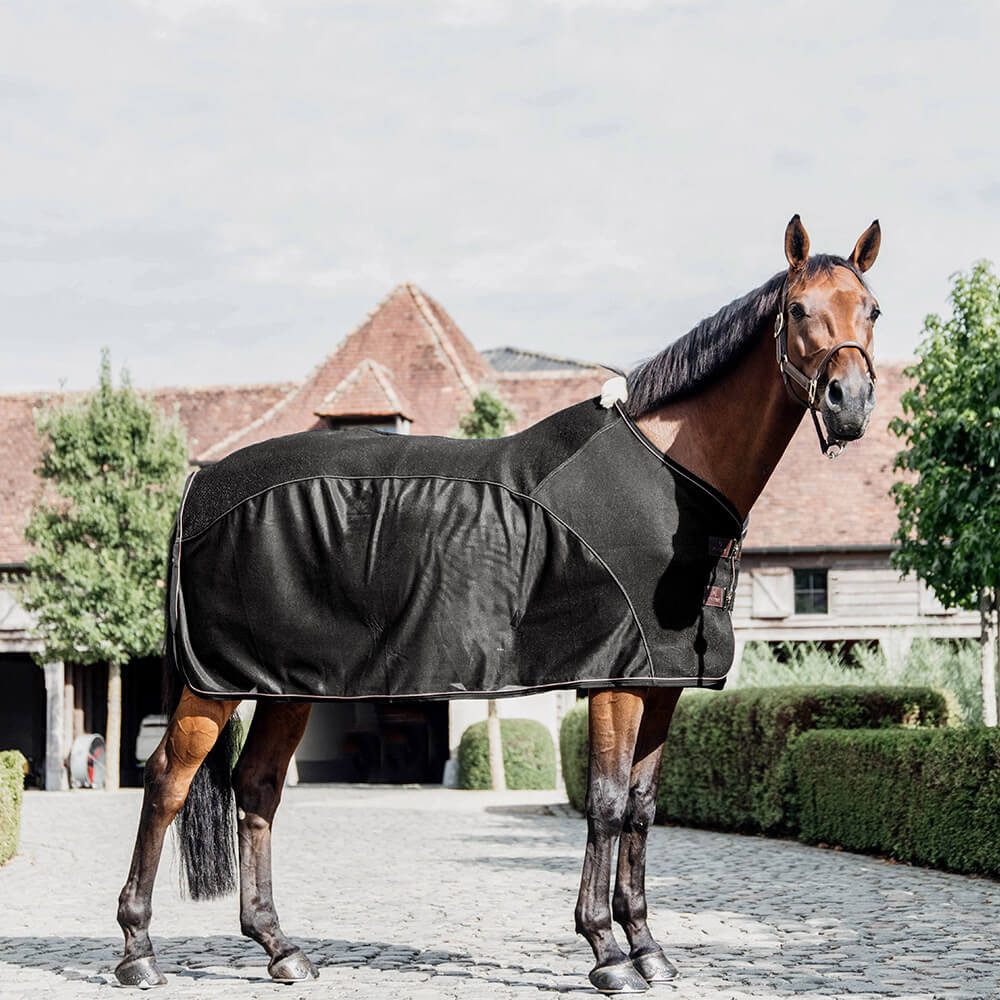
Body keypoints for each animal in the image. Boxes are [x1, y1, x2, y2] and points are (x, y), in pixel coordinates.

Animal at [115, 214, 881, 993]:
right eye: (798, 310)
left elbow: (641, 809)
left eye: (872, 310)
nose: (849, 403)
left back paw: (280, 948)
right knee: (167, 780)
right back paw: (138, 952)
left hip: (287, 685)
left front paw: (648, 949)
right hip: (216, 686)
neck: (669, 475)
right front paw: (606, 952)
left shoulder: (661, 683)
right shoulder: (615, 681)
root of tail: (199, 488)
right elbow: (606, 804)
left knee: (258, 788)